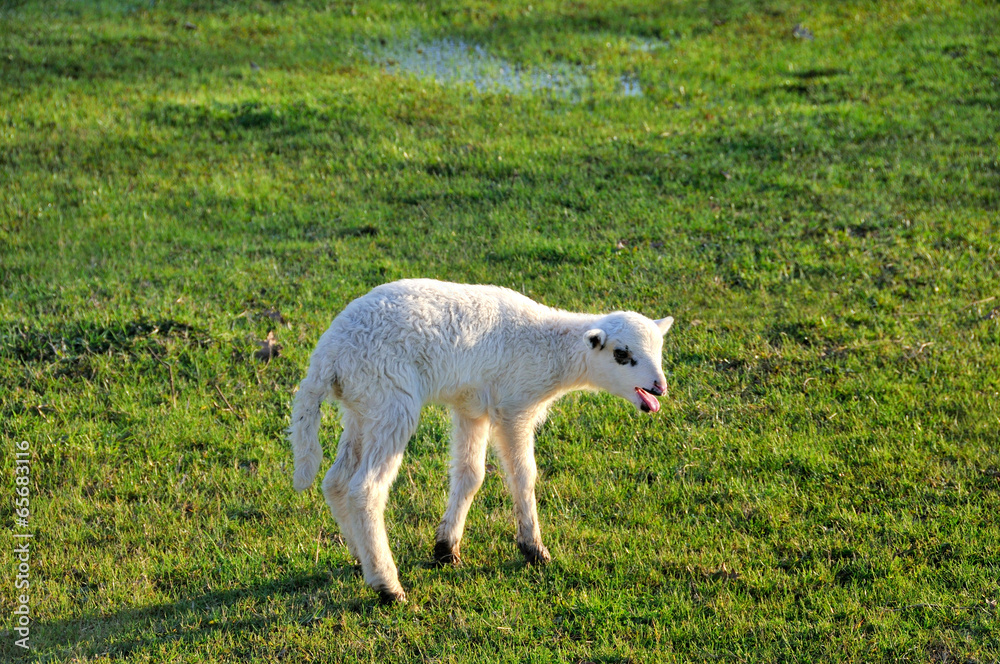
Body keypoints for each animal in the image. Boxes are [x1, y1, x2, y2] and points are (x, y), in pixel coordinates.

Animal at [289, 279, 673, 603]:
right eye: (622, 355)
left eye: (659, 351)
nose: (659, 388)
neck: (550, 347)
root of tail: (329, 354)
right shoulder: (514, 407)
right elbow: (523, 476)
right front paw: (534, 550)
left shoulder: (471, 406)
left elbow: (469, 475)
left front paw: (446, 550)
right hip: (390, 397)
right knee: (365, 489)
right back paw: (387, 586)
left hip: (361, 406)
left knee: (336, 481)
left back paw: (361, 558)